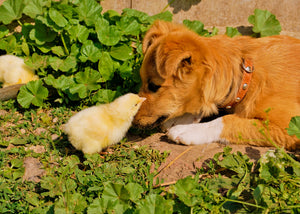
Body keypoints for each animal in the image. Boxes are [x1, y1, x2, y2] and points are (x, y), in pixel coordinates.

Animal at [134, 20, 300, 150]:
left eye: (154, 86)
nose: (133, 121)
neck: (246, 78)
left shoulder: (290, 126)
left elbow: (228, 120)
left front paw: (187, 130)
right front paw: (181, 119)